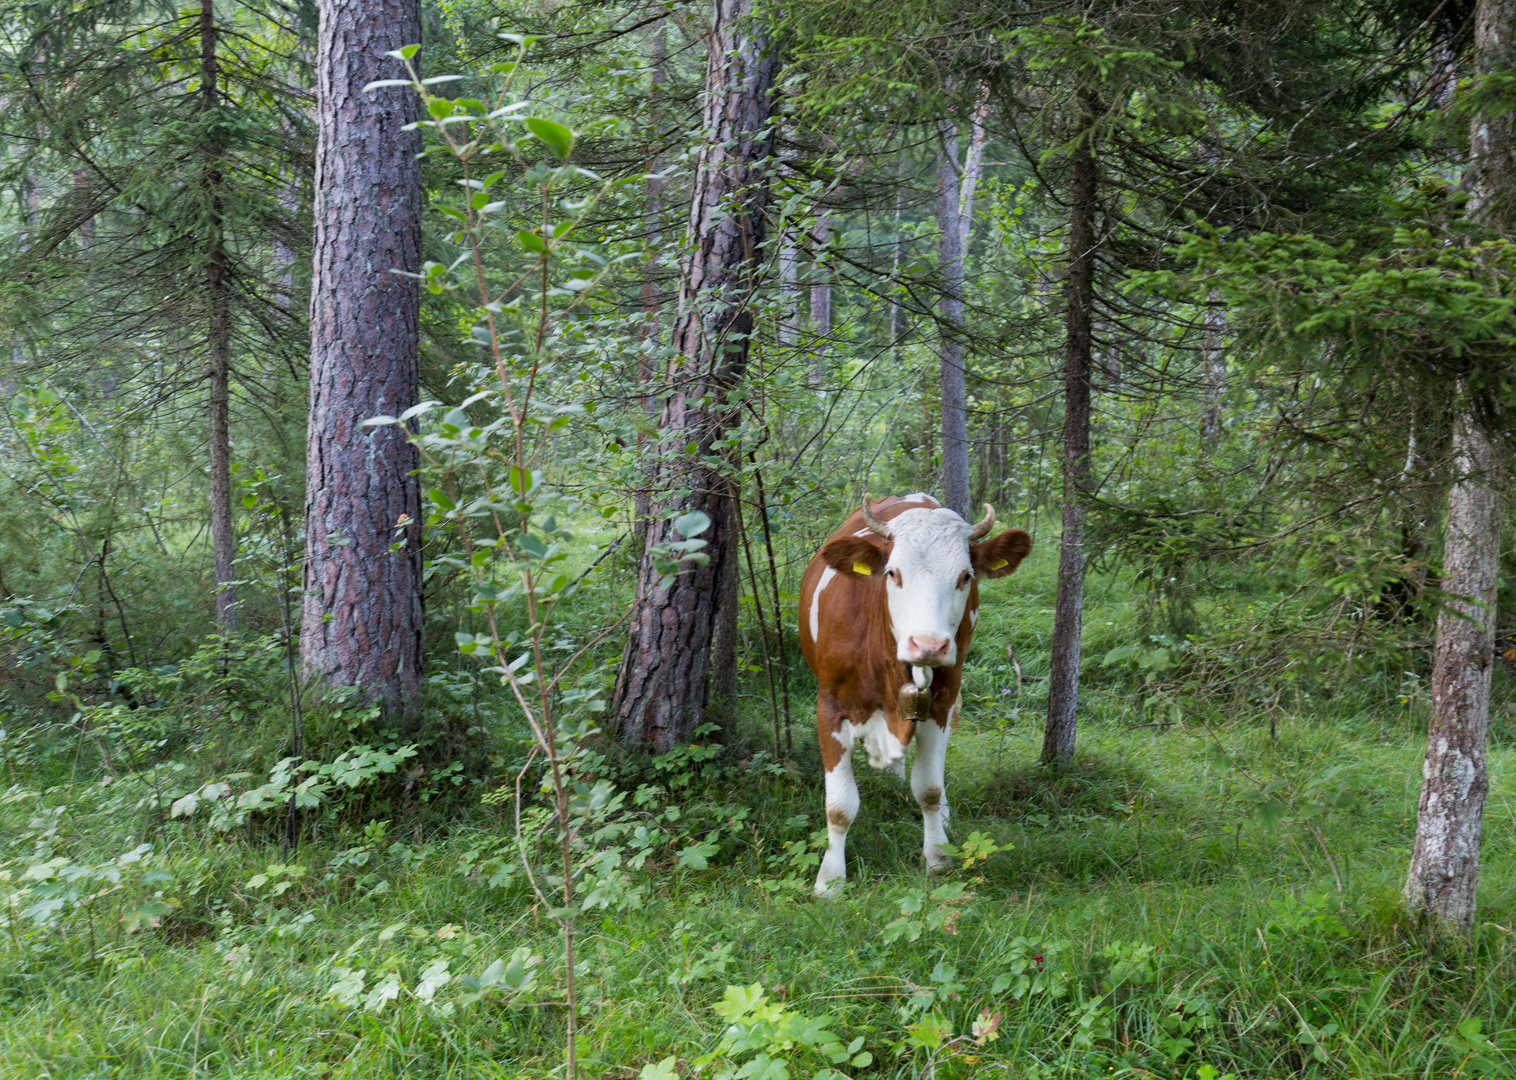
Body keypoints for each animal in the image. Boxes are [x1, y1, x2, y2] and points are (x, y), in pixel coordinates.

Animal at [794, 494, 1030, 891]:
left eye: (965, 576)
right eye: (893, 573)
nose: (929, 645)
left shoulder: (941, 702)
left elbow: (929, 789)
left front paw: (937, 857)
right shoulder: (829, 705)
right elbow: (839, 806)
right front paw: (830, 880)